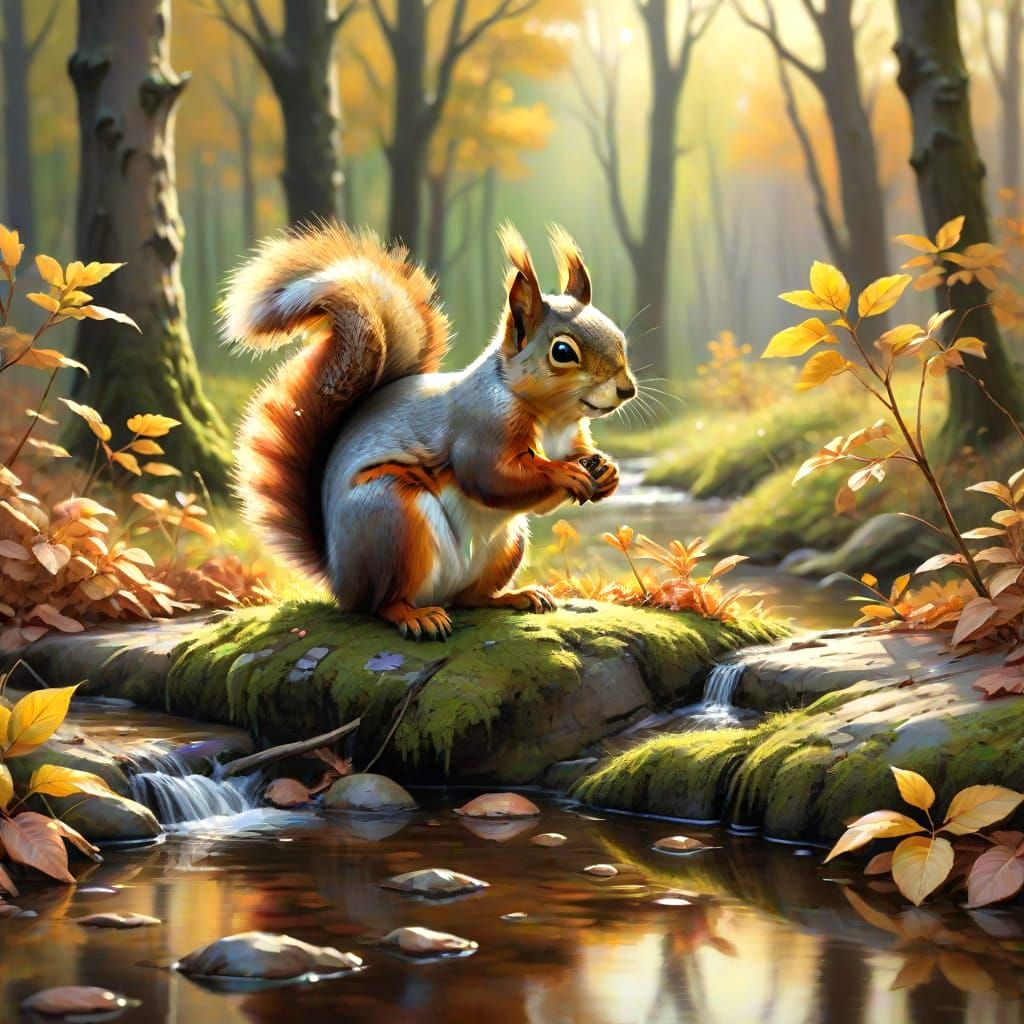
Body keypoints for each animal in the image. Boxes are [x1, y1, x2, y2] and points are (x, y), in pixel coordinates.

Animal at [222, 221, 637, 641]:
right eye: (563, 352)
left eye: (620, 338)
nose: (626, 390)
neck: (551, 415)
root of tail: (339, 578)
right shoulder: (480, 427)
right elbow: (492, 478)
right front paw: (565, 474)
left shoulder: (570, 435)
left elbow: (568, 461)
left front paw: (606, 472)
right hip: (390, 521)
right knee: (380, 603)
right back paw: (415, 616)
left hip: (507, 544)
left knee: (472, 598)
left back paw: (516, 596)